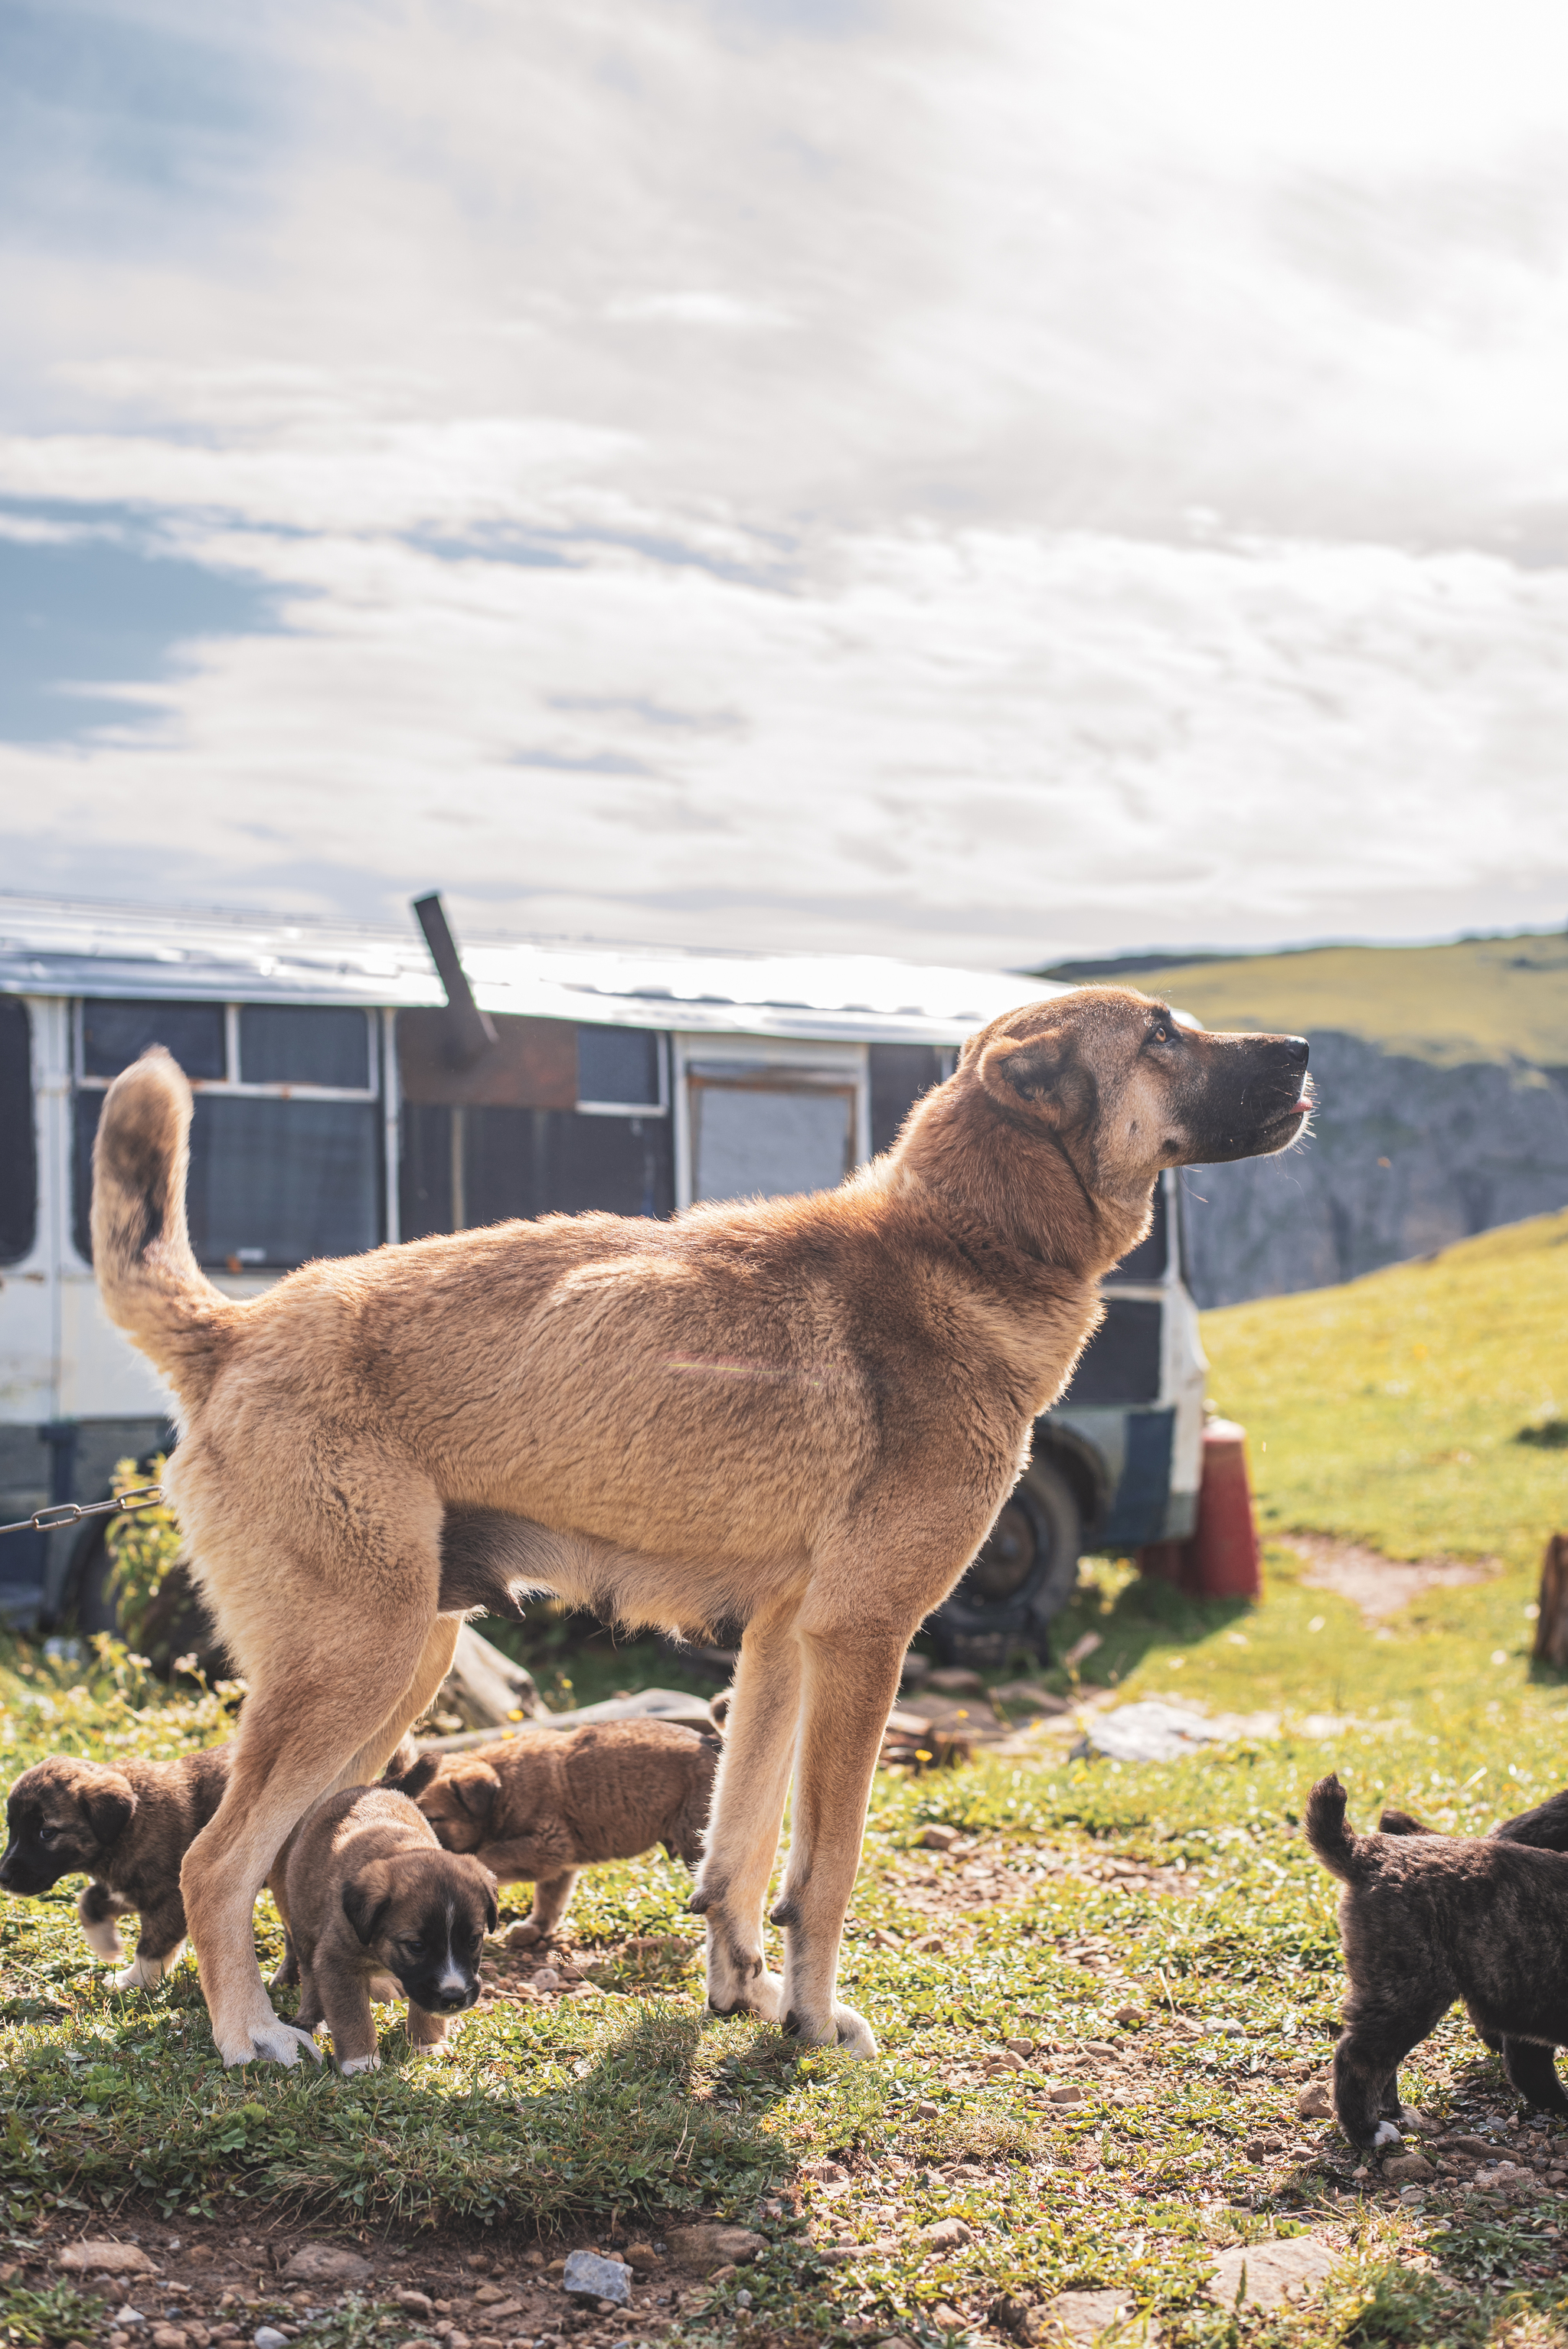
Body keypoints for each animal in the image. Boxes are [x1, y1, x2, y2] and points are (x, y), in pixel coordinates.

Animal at [0, 1756, 230, 1991]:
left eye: (47, 1833)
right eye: (11, 1829)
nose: (2, 1878)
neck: (130, 1826)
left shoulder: (167, 1901)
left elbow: (150, 1948)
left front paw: (132, 1980)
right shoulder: (128, 1888)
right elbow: (88, 1901)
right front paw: (107, 1947)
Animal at [285, 1776, 495, 2076]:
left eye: (473, 1941)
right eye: (416, 1946)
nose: (454, 1997)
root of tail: (373, 1787)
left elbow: (423, 2006)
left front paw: (428, 2041)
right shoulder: (336, 1962)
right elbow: (351, 2014)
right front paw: (360, 2059)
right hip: (304, 1931)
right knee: (311, 1979)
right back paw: (310, 2019)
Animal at [384, 1719, 718, 1936]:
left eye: (431, 1819)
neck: (504, 1790)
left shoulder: (546, 1846)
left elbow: (486, 1858)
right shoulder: (562, 1861)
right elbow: (550, 1897)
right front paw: (536, 1928)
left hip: (695, 1840)